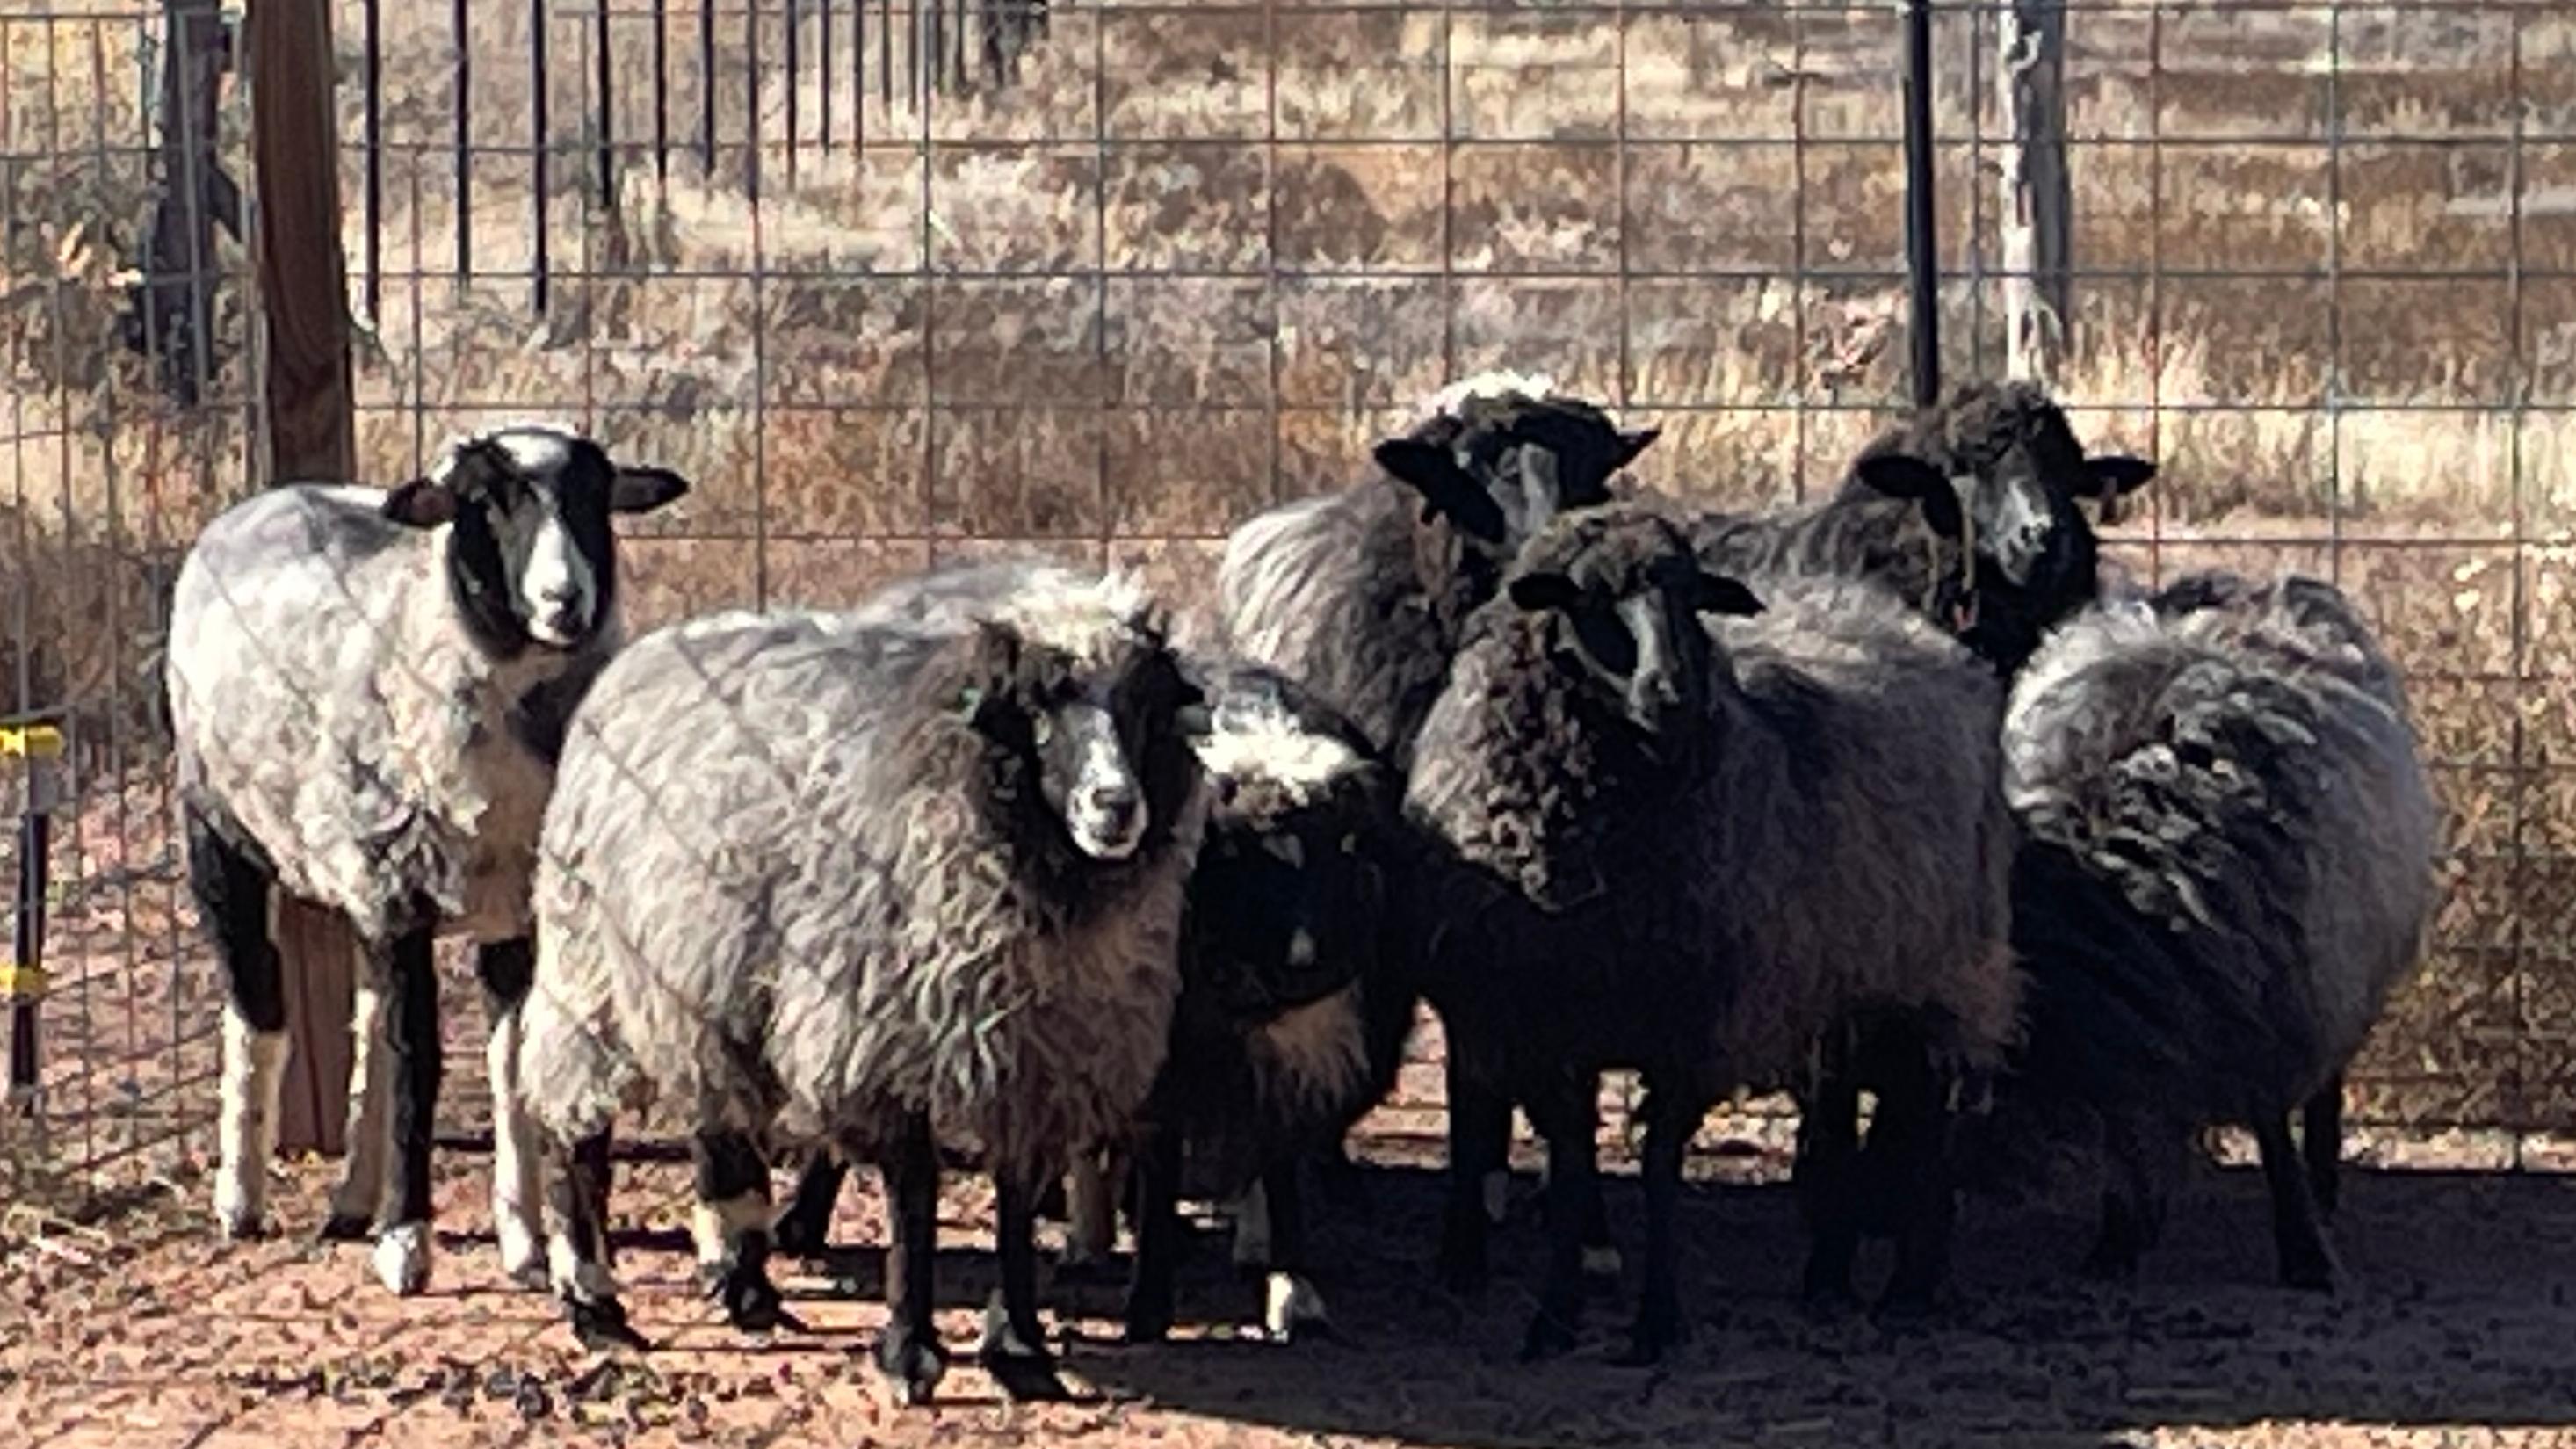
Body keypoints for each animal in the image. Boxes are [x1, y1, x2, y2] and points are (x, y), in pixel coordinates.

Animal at [164, 421, 689, 1296]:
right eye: (486, 499)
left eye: (596, 495)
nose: (566, 603)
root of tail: (266, 499)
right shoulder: (400, 892)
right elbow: (423, 1061)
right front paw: (408, 1241)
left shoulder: (508, 908)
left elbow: (507, 1062)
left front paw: (531, 1243)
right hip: (222, 829)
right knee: (257, 1001)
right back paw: (242, 1196)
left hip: (359, 876)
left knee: (369, 1018)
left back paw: (352, 1197)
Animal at [513, 558, 1207, 1405]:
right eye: (1040, 703)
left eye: (1144, 701)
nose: (1116, 807)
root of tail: (647, 652)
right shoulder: (883, 1035)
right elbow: (914, 1193)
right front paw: (910, 1351)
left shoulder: (1035, 1055)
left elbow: (1014, 1198)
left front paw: (1020, 1348)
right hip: (590, 964)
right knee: (572, 1124)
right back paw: (594, 1302)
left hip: (710, 982)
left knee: (718, 1122)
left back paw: (746, 1288)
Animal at [1404, 501, 2018, 1363]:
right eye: (1590, 598)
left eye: (1693, 596)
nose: (1675, 694)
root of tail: (1917, 630)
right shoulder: (1547, 1022)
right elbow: (1572, 1162)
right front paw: (1554, 1318)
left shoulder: (1688, 1021)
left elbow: (1661, 1167)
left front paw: (1657, 1321)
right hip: (1850, 978)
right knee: (1854, 1100)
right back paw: (1830, 1278)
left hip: (1940, 969)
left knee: (1930, 1108)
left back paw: (1907, 1285)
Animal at [1962, 569, 2438, 1290]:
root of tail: (2252, 583)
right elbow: (2128, 1132)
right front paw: (2118, 1239)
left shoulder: (2270, 997)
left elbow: (2272, 1131)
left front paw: (2305, 1249)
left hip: (2338, 967)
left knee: (2326, 1086)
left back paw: (2325, 1182)